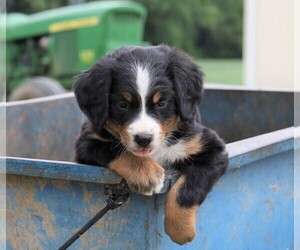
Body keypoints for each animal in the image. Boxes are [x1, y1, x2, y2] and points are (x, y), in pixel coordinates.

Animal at [73, 45, 227, 244]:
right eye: (123, 104)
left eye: (161, 103)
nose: (143, 138)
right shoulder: (87, 142)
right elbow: (116, 149)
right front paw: (146, 174)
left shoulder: (211, 149)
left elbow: (188, 188)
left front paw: (180, 230)